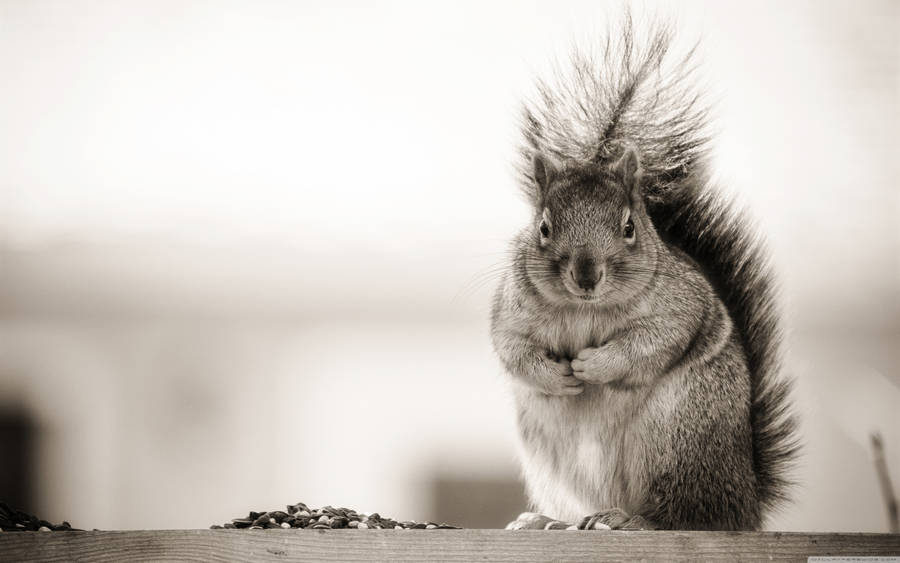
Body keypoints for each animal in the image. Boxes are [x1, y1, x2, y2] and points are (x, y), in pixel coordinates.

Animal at [491, 18, 798, 531]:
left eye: (629, 227)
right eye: (544, 227)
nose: (587, 275)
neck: (585, 309)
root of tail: (747, 499)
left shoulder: (680, 305)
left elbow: (653, 341)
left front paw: (592, 366)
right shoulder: (511, 310)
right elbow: (512, 349)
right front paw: (558, 375)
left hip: (677, 438)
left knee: (690, 516)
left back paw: (634, 521)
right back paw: (549, 521)